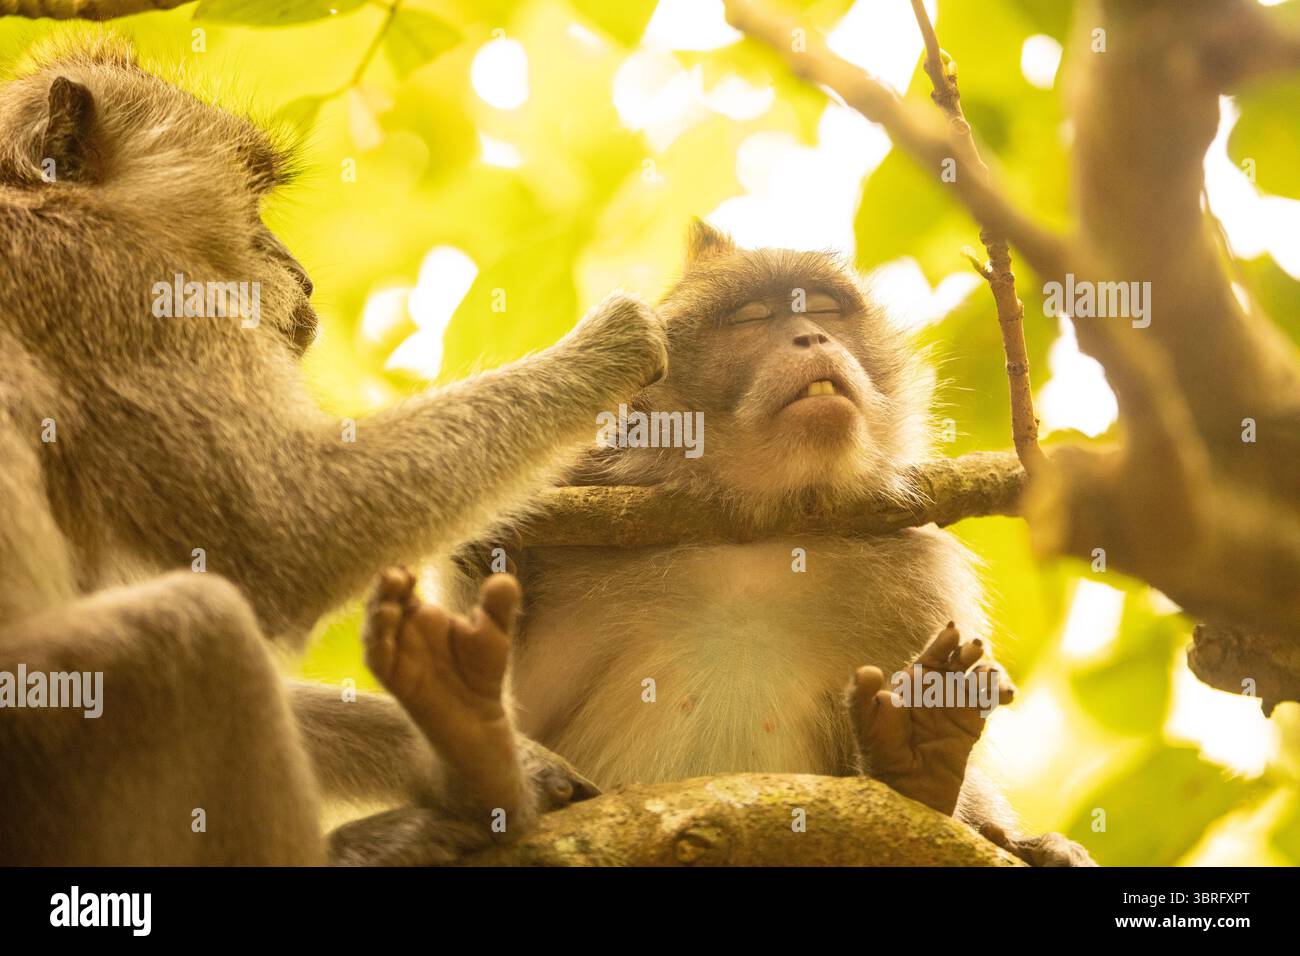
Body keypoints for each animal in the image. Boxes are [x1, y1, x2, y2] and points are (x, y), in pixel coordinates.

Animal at [0, 38, 666, 865]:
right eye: (249, 199)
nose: (301, 274)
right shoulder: (119, 286)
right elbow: (288, 527)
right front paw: (610, 348)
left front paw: (498, 757)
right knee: (195, 630)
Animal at [437, 220, 1094, 866]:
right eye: (752, 318)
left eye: (823, 308)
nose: (811, 338)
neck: (753, 538)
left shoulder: (915, 570)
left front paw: (930, 771)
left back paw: (923, 760)